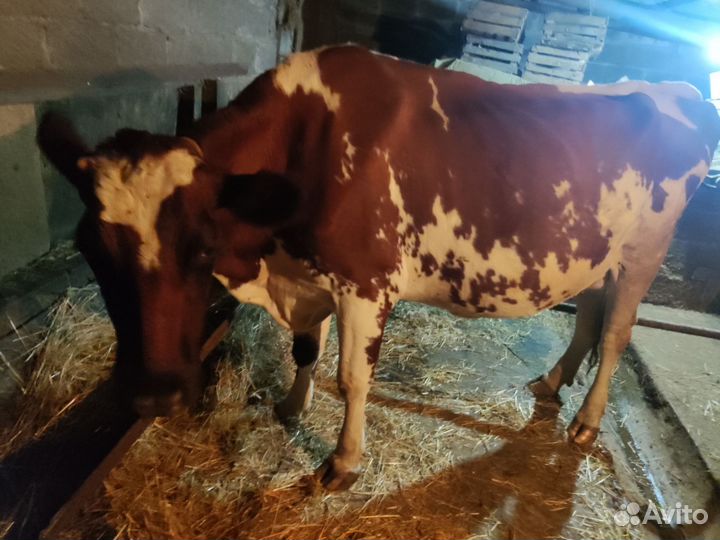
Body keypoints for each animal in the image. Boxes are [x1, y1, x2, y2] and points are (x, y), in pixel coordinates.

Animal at [38, 45, 720, 490]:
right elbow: (306, 350)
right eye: (91, 251)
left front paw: (341, 464)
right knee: (588, 319)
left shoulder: (365, 283)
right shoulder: (309, 276)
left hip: (646, 252)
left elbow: (352, 379)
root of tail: (678, 90)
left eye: (201, 248)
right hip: (598, 255)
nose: (153, 395)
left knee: (616, 334)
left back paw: (584, 423)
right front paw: (291, 407)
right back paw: (552, 383)